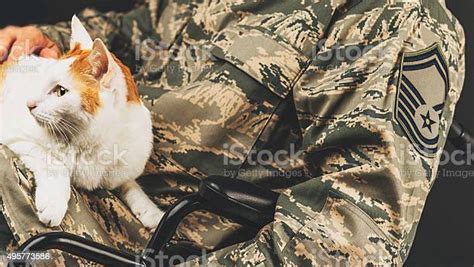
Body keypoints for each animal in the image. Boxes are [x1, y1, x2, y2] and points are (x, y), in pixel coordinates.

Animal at [0, 16, 163, 229]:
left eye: (60, 91)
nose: (29, 104)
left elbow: (130, 185)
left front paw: (151, 212)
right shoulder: (15, 135)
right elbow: (55, 164)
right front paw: (53, 203)